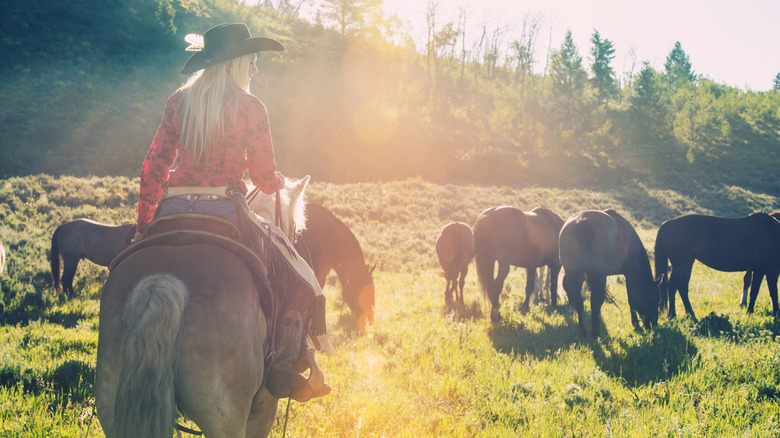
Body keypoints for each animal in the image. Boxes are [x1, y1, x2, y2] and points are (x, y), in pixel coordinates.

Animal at [556, 210, 660, 338]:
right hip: (598, 274)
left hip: (574, 272)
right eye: (656, 299)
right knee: (596, 299)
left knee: (579, 300)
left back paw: (583, 330)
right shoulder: (631, 274)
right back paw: (595, 332)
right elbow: (632, 298)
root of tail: (582, 222)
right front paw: (635, 323)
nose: (653, 324)